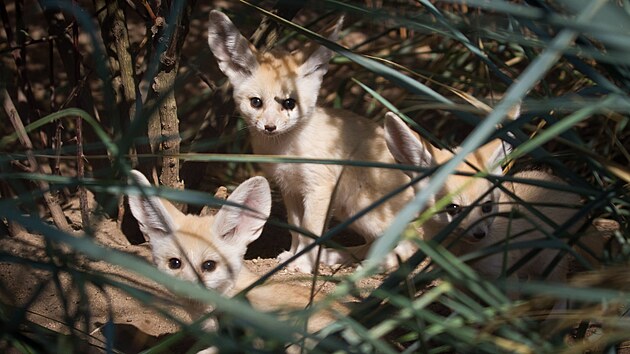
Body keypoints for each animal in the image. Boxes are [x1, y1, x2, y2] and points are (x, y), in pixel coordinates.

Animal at [207, 9, 414, 272]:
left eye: (289, 103)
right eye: (256, 102)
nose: (269, 127)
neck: (287, 149)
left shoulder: (318, 188)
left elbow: (310, 230)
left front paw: (304, 265)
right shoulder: (290, 188)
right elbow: (296, 228)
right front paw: (293, 257)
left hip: (364, 210)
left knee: (415, 239)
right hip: (350, 212)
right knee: (376, 242)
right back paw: (340, 256)